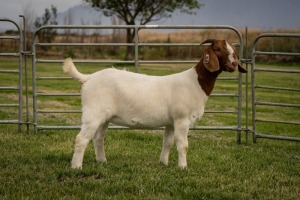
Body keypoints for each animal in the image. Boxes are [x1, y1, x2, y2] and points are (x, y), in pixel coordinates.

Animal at [62, 38, 246, 169]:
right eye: (218, 49)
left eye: (234, 50)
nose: (233, 64)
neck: (195, 82)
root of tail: (89, 78)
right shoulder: (182, 119)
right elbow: (183, 145)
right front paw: (183, 167)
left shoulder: (171, 122)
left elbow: (168, 143)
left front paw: (163, 163)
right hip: (93, 113)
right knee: (81, 139)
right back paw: (76, 167)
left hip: (104, 117)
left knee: (98, 138)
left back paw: (102, 161)